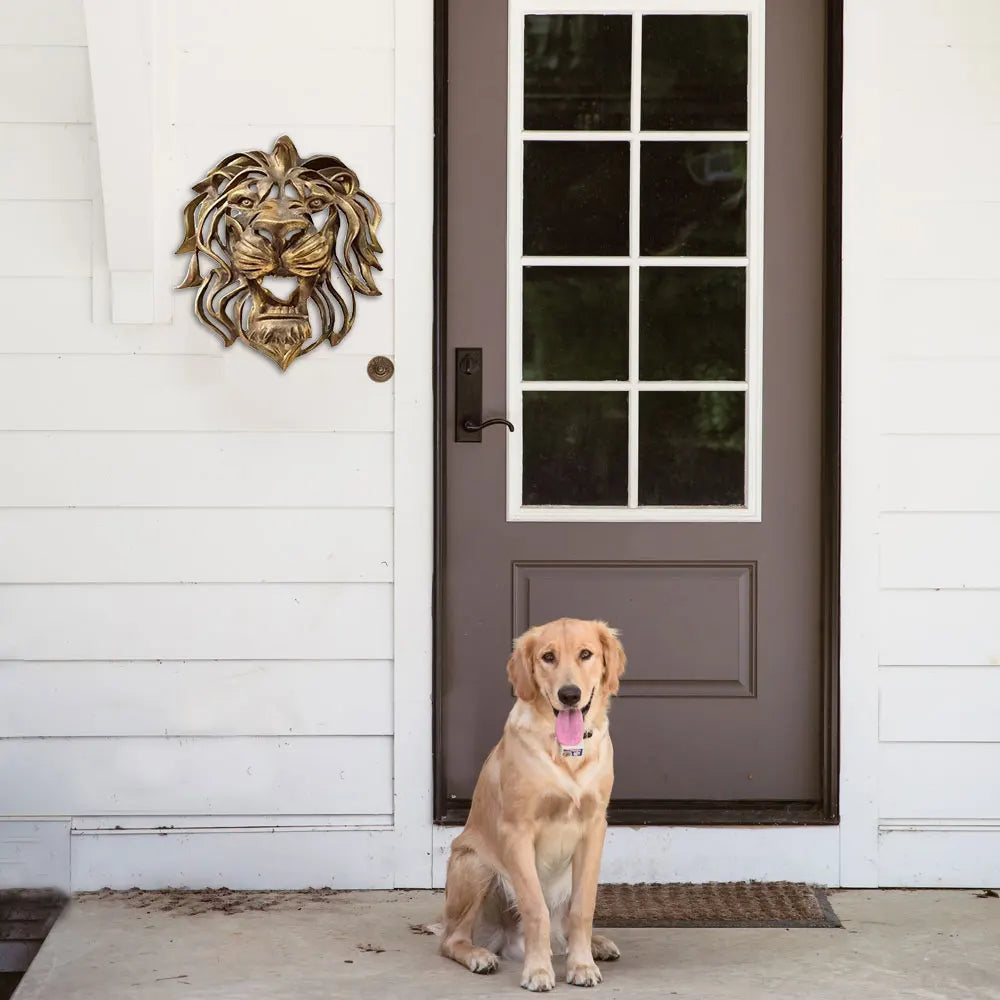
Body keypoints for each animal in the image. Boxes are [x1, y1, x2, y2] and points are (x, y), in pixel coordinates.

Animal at [434, 616, 620, 992]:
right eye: (548, 657)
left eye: (586, 654)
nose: (569, 695)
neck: (565, 751)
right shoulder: (517, 831)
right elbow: (536, 909)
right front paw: (537, 971)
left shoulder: (594, 828)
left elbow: (583, 908)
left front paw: (582, 965)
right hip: (476, 864)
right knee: (451, 938)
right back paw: (479, 956)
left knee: (566, 926)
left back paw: (596, 945)